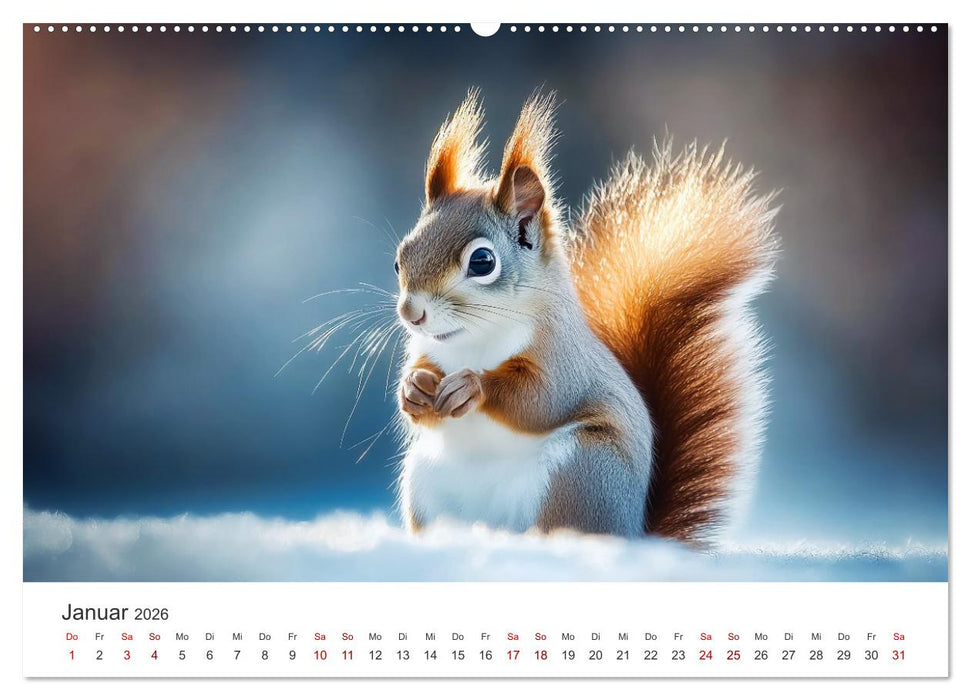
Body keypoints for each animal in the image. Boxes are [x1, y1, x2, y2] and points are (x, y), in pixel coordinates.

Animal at [392, 91, 778, 545]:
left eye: (482, 261)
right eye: (401, 257)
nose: (411, 313)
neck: (471, 341)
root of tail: (635, 532)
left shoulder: (563, 357)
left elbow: (543, 398)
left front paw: (473, 386)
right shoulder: (428, 350)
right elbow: (420, 383)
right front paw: (413, 388)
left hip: (579, 473)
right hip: (427, 483)